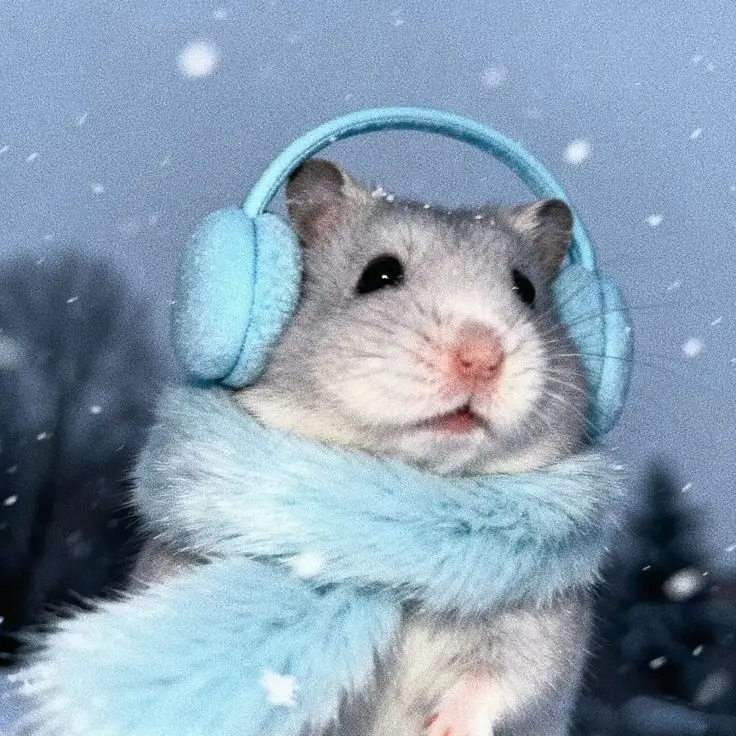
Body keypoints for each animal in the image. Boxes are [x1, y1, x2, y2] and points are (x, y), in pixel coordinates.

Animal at [140, 159, 592, 735]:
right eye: (378, 274)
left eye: (526, 289)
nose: (481, 356)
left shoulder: (543, 619)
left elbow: (503, 679)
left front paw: (443, 728)